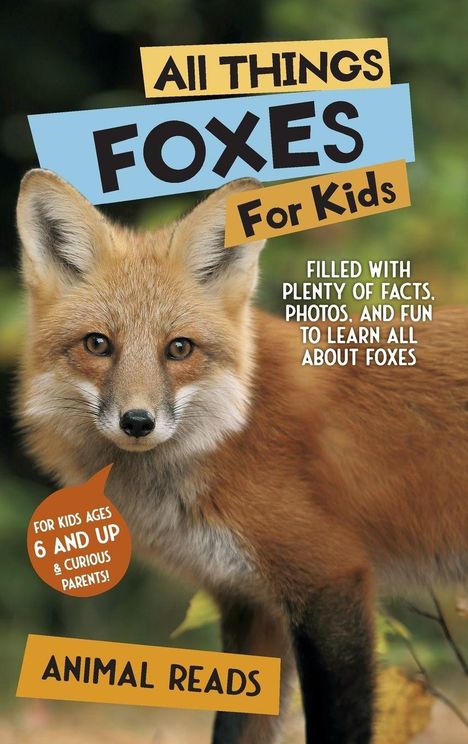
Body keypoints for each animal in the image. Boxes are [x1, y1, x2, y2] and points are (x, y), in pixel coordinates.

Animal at [16, 168, 468, 744]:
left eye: (179, 349)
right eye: (98, 344)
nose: (137, 422)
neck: (232, 430)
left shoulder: (330, 577)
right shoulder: (249, 601)